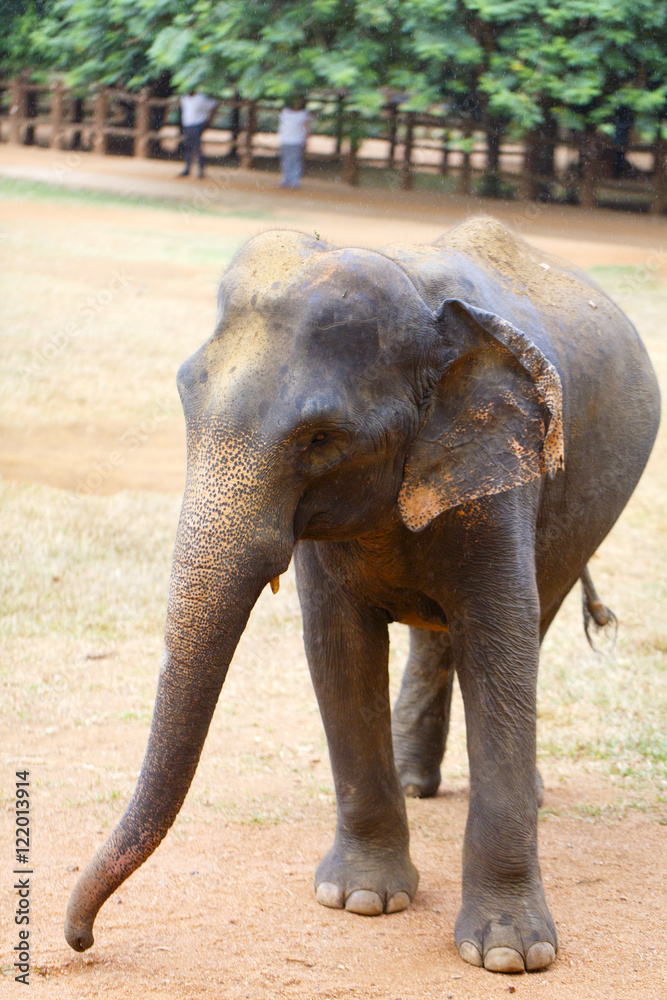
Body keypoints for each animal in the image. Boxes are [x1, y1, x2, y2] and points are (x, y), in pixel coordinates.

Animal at [64, 216, 660, 974]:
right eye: (183, 398)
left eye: (321, 438)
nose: (81, 939)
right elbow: (338, 647)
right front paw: (360, 901)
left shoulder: (502, 475)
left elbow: (502, 641)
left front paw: (509, 954)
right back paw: (413, 782)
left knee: (534, 615)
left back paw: (521, 796)